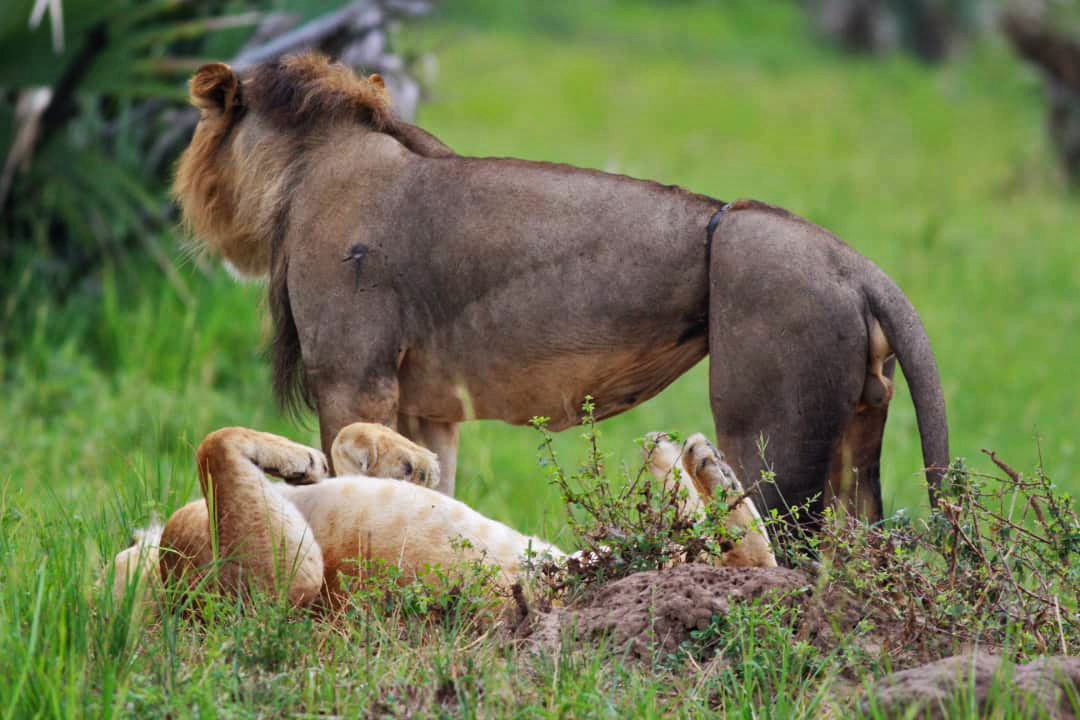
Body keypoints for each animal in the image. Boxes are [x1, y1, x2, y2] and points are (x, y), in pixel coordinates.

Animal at [111, 425, 777, 613]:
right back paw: (682, 455)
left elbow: (346, 443)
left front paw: (401, 459)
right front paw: (302, 457)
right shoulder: (276, 589)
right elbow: (214, 444)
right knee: (732, 555)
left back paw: (695, 457)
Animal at [172, 52, 950, 524]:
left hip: (769, 439)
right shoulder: (429, 405)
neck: (308, 165)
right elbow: (434, 485)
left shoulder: (351, 375)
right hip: (857, 433)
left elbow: (346, 471)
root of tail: (853, 261)